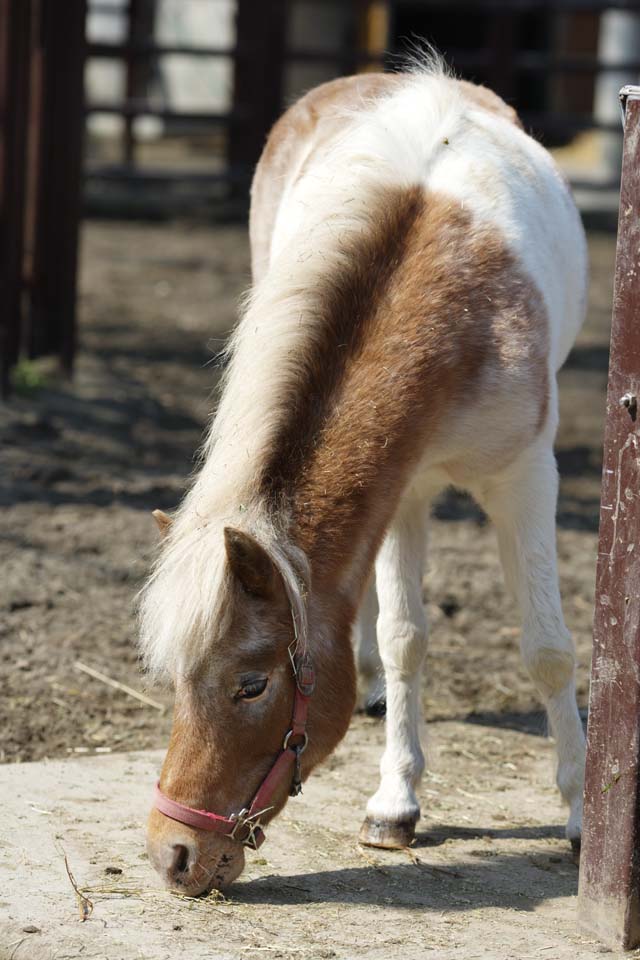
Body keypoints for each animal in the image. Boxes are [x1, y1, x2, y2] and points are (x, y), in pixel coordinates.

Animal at [141, 60, 592, 896]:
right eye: (178, 679)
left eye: (251, 683)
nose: (172, 856)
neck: (451, 308)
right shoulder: (403, 488)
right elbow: (405, 636)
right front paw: (395, 803)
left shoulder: (524, 479)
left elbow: (548, 650)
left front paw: (582, 815)